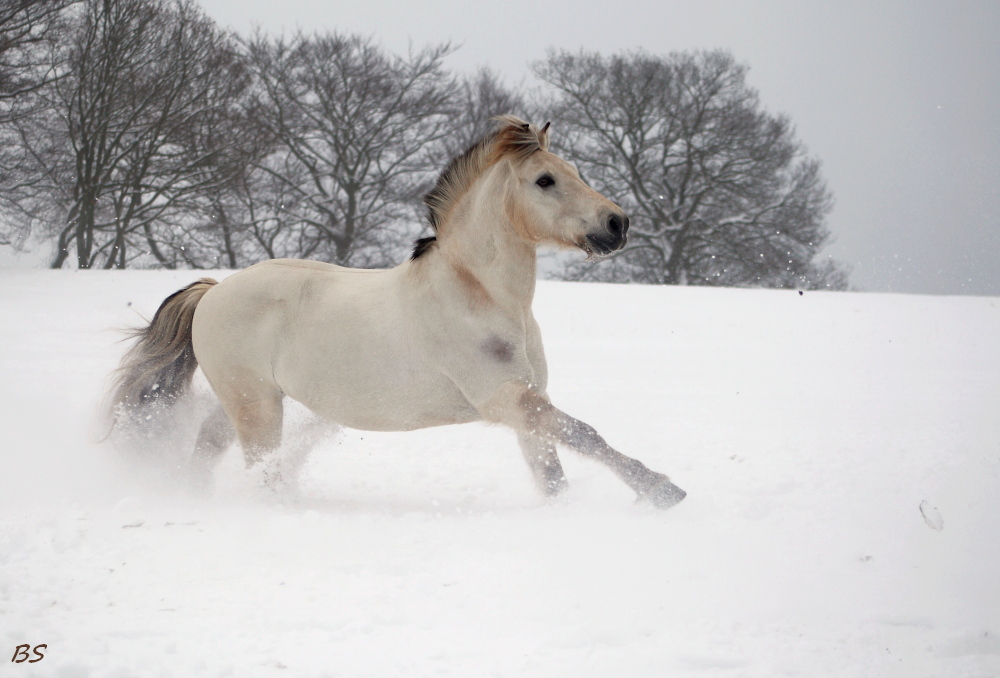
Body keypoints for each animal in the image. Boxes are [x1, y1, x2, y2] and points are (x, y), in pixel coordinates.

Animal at [109, 117, 688, 510]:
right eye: (545, 180)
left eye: (575, 171)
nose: (617, 224)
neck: (484, 296)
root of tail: (213, 292)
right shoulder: (503, 398)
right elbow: (586, 434)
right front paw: (663, 489)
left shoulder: (528, 402)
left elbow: (553, 471)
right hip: (256, 407)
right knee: (261, 468)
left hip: (251, 401)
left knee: (210, 442)